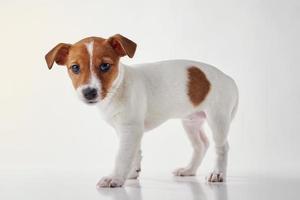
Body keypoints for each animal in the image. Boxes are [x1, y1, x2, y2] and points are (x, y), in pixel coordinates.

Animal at [44, 33, 238, 188]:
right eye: (75, 68)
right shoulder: (128, 129)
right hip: (191, 121)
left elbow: (122, 155)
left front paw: (114, 177)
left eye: (105, 66)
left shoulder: (130, 129)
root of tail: (230, 79)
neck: (119, 88)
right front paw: (131, 172)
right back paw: (189, 169)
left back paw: (218, 173)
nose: (89, 92)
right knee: (201, 144)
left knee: (222, 147)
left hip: (217, 119)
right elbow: (134, 152)